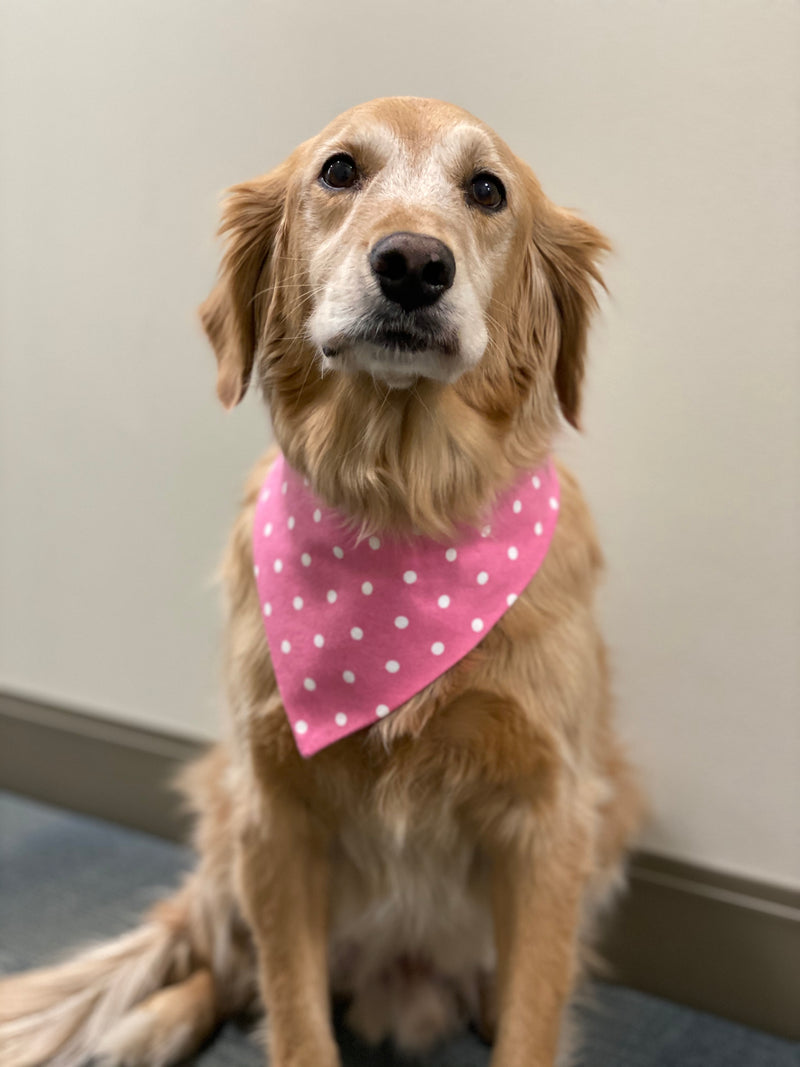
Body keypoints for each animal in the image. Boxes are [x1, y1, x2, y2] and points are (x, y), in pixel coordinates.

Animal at [0, 96, 644, 1062]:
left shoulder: (550, 816)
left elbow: (534, 1018)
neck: (401, 511)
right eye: (339, 171)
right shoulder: (274, 809)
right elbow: (292, 1005)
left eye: (487, 190)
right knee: (222, 967)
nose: (413, 264)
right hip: (225, 820)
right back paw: (151, 1025)